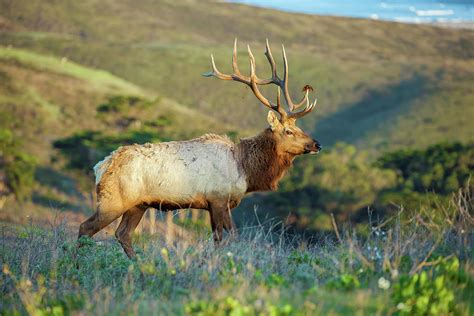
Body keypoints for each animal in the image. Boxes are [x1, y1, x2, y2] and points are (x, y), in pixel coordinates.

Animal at [78, 39, 322, 258]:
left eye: (298, 127)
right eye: (289, 131)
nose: (316, 144)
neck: (245, 169)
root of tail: (100, 166)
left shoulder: (217, 203)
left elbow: (222, 238)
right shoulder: (218, 198)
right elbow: (225, 238)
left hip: (138, 204)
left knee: (123, 234)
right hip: (113, 200)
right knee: (85, 228)